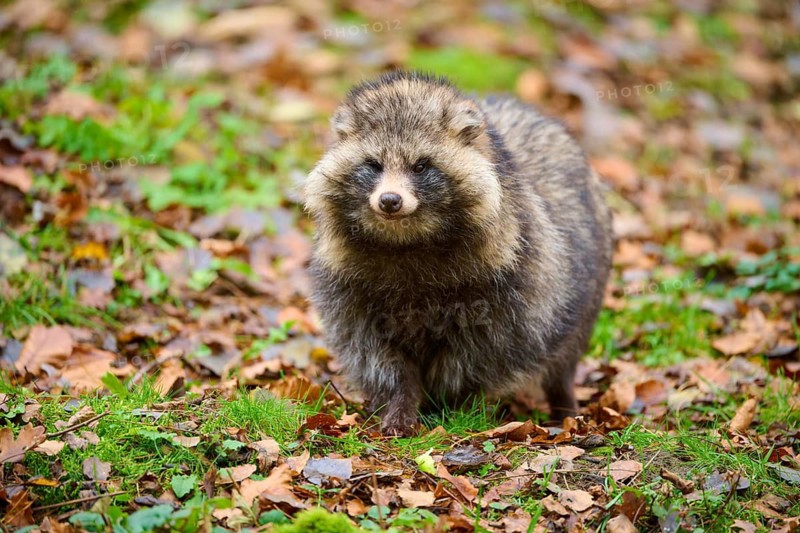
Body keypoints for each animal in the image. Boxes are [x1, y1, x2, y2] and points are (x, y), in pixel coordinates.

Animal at [305, 71, 612, 436]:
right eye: (373, 165)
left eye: (421, 166)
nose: (390, 200)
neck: (407, 240)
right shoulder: (348, 286)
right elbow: (375, 353)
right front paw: (401, 401)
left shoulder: (508, 284)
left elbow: (476, 353)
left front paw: (451, 404)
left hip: (585, 290)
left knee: (563, 354)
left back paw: (563, 403)